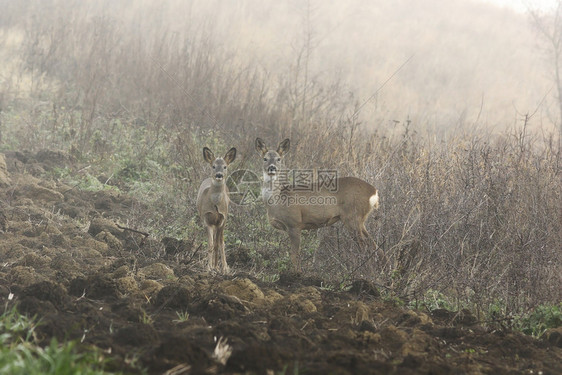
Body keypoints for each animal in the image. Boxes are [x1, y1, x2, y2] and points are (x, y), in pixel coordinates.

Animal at [196, 146, 235, 274]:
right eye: (213, 166)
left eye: (225, 166)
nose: (219, 175)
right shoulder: (206, 219)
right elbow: (210, 245)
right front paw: (209, 267)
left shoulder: (222, 220)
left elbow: (219, 244)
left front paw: (220, 268)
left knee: (221, 242)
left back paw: (221, 266)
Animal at [255, 138, 380, 274]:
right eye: (265, 158)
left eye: (279, 159)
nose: (272, 168)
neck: (277, 201)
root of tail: (374, 192)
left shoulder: (294, 223)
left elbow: (294, 255)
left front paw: (298, 273)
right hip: (360, 220)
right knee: (374, 244)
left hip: (352, 217)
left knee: (364, 245)